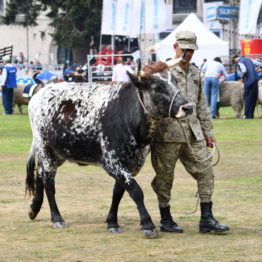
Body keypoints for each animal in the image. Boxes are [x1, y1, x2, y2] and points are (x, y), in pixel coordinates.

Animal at [25, 60, 192, 238]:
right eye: (158, 87)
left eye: (175, 82)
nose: (188, 107)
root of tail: (42, 90)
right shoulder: (112, 162)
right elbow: (136, 191)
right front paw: (147, 224)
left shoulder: (130, 163)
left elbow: (118, 192)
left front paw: (112, 222)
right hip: (44, 147)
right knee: (48, 181)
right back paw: (57, 218)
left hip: (58, 153)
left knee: (40, 173)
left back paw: (34, 208)